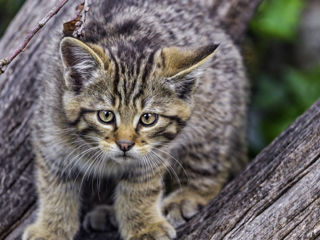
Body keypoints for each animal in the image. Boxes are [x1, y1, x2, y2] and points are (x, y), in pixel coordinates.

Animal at [23, 0, 248, 240]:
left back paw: (188, 196)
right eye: (106, 115)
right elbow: (53, 187)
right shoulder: (49, 135)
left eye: (148, 118)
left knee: (210, 163)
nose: (125, 145)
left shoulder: (154, 151)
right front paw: (50, 228)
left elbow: (141, 186)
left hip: (211, 118)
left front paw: (145, 226)